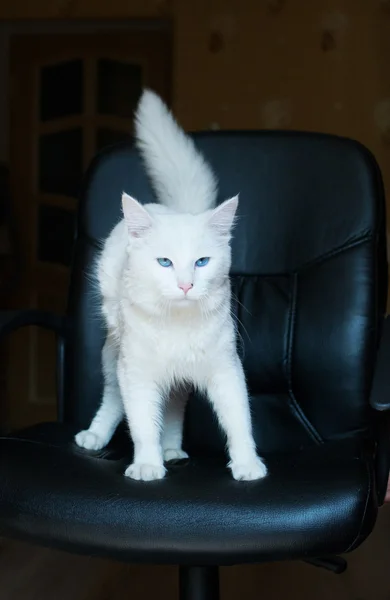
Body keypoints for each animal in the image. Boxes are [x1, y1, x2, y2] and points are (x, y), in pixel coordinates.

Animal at [74, 89, 266, 482]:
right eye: (164, 263)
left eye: (202, 262)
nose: (186, 285)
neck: (178, 323)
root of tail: (173, 208)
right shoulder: (138, 373)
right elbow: (143, 423)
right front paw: (147, 465)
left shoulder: (225, 369)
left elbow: (239, 421)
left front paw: (247, 465)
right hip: (115, 358)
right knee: (114, 401)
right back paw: (95, 436)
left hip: (175, 378)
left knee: (175, 405)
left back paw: (173, 449)